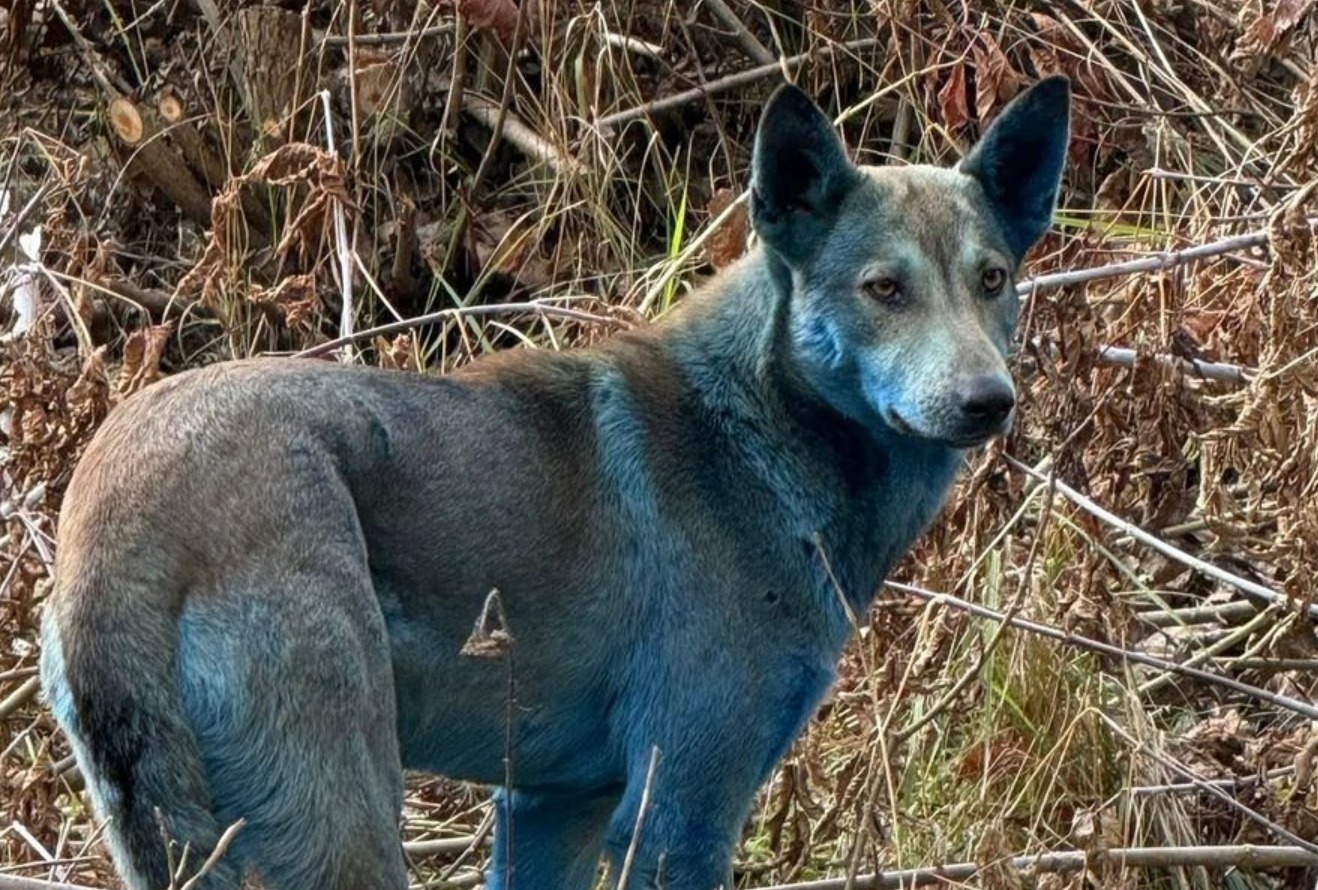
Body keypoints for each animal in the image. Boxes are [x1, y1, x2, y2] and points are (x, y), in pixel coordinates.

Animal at [40, 77, 1070, 890]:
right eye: (884, 289)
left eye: (992, 279)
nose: (989, 402)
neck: (758, 434)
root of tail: (110, 515)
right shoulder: (680, 814)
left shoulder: (549, 807)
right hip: (346, 826)